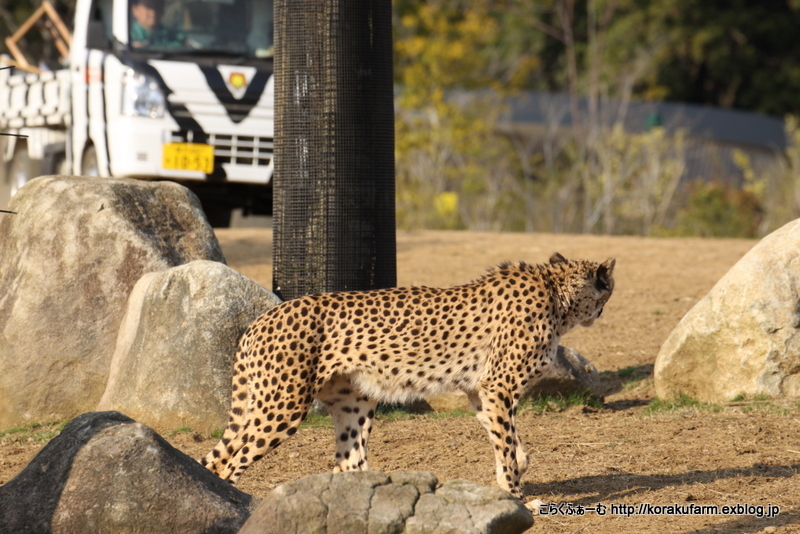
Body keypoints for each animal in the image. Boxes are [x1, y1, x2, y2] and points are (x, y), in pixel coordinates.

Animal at [203, 253, 616, 504]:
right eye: (607, 290)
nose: (602, 311)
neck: (556, 292)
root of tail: (262, 317)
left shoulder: (479, 390)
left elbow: (508, 439)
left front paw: (513, 470)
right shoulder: (498, 386)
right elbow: (505, 439)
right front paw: (515, 493)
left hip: (354, 403)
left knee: (348, 462)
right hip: (282, 406)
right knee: (228, 463)